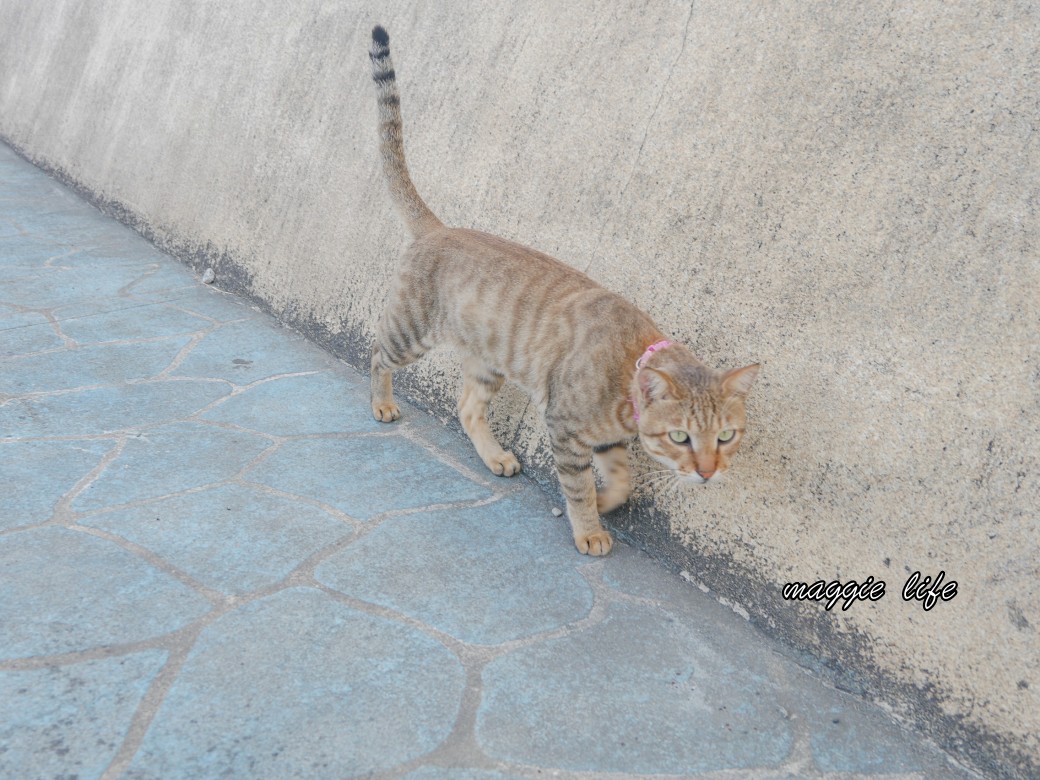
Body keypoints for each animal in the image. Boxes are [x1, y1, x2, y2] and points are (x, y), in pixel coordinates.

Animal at [366, 26, 757, 557]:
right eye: (680, 437)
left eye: (726, 436)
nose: (708, 473)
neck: (627, 376)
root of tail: (439, 228)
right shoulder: (565, 428)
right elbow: (577, 487)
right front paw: (589, 527)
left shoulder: (607, 439)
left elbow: (621, 480)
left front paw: (606, 501)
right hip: (412, 330)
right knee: (377, 354)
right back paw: (381, 402)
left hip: (488, 363)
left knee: (467, 408)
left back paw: (495, 456)